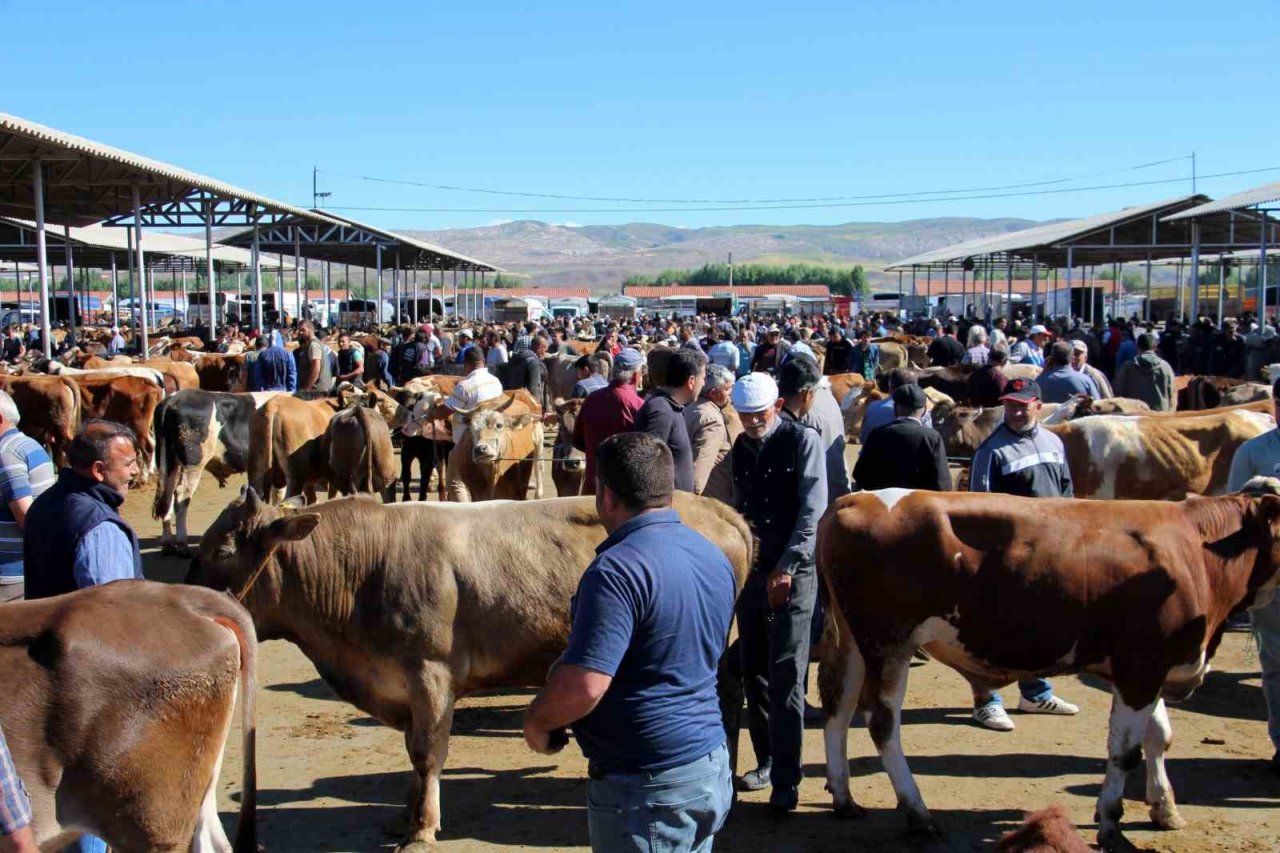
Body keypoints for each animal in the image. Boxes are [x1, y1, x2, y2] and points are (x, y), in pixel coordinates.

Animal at [814, 484, 1280, 850]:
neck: (1197, 550)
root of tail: (854, 499)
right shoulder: (1142, 666)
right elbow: (1124, 751)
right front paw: (1110, 822)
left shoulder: (1149, 668)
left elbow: (1159, 737)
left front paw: (1164, 807)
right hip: (889, 643)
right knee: (881, 724)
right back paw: (918, 814)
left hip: (854, 642)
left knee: (837, 710)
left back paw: (844, 799)